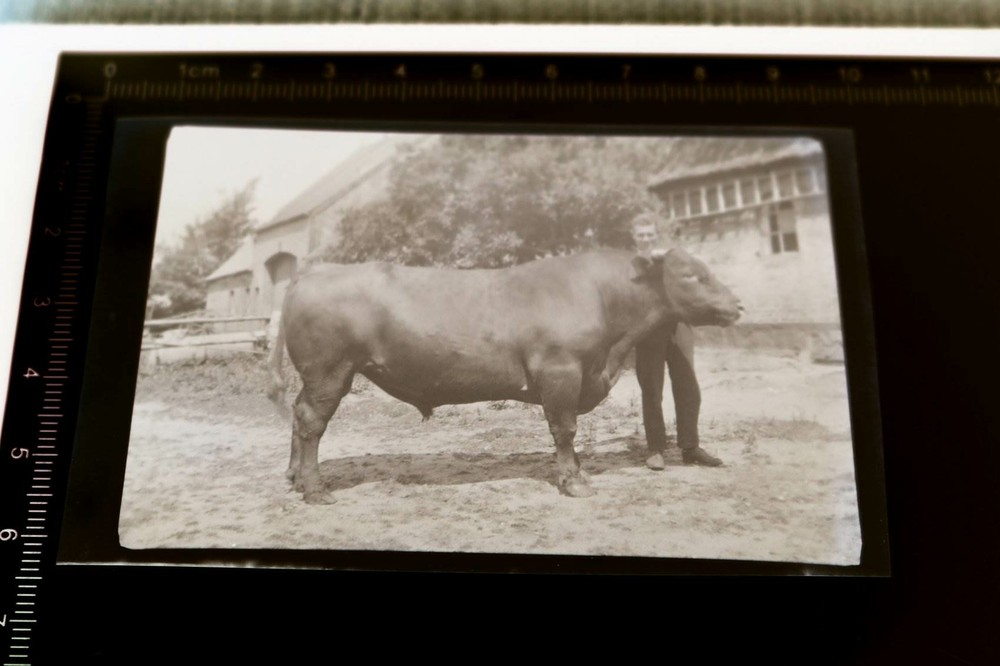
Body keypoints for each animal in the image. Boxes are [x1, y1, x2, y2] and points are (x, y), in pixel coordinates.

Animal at [268, 247, 742, 504]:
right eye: (692, 275)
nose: (737, 303)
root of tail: (312, 272)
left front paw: (579, 473)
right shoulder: (561, 372)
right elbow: (565, 429)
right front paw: (574, 482)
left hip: (319, 376)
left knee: (297, 414)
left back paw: (293, 477)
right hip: (330, 371)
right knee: (310, 421)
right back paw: (314, 489)